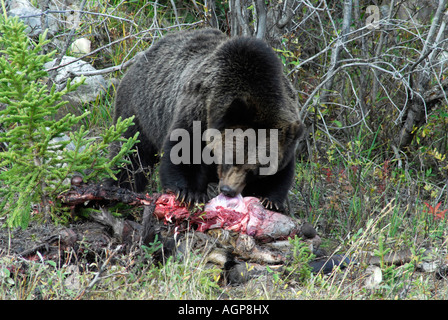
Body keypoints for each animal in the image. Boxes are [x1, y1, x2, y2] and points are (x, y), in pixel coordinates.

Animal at [114, 28, 302, 212]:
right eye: (230, 158)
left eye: (254, 171)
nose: (228, 190)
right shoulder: (198, 110)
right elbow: (182, 151)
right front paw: (189, 193)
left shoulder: (286, 136)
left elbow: (281, 174)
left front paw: (270, 201)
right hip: (140, 112)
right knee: (130, 155)